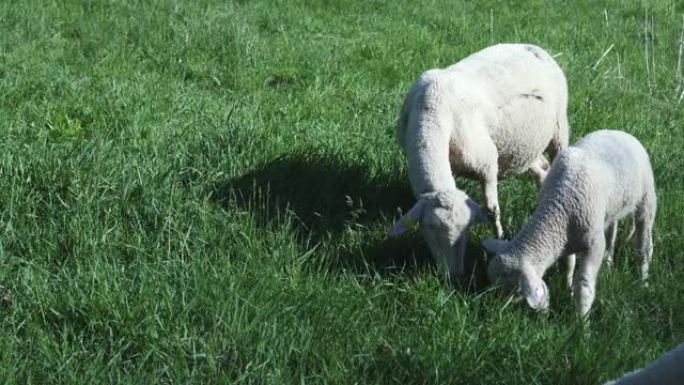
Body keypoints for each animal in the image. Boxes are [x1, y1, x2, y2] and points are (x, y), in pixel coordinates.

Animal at [388, 43, 568, 280]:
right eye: (429, 228)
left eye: (466, 230)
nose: (454, 276)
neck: (432, 109)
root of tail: (533, 47)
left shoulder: (487, 164)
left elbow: (491, 209)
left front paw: (500, 239)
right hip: (523, 145)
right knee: (543, 169)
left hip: (560, 128)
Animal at [484, 128, 656, 316]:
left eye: (512, 290)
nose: (498, 309)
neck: (557, 210)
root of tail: (621, 132)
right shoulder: (567, 239)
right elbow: (568, 264)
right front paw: (568, 288)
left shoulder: (594, 245)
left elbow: (585, 284)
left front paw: (582, 319)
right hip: (612, 207)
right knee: (612, 234)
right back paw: (609, 263)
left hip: (646, 198)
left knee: (644, 246)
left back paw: (644, 280)